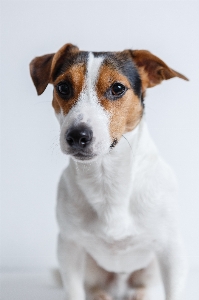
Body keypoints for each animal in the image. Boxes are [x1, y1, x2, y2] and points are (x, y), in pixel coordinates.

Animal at [29, 44, 188, 300]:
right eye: (63, 87)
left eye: (118, 88)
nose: (77, 135)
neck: (106, 175)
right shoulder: (69, 248)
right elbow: (74, 291)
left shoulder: (172, 251)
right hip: (89, 267)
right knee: (94, 287)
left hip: (151, 267)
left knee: (142, 286)